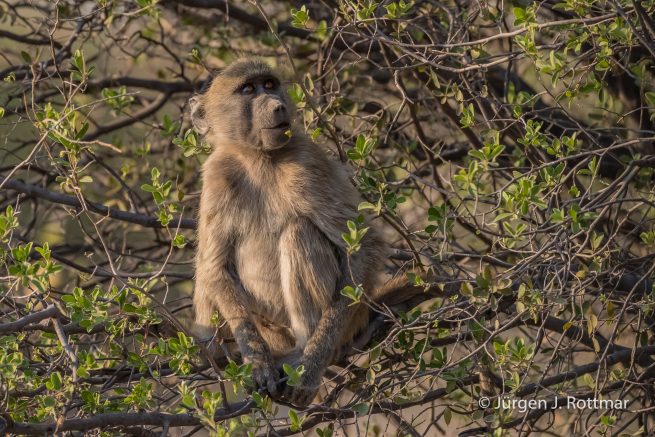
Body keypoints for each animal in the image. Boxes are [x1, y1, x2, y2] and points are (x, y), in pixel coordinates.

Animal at [190, 59, 421, 406]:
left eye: (270, 85)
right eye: (248, 89)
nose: (278, 106)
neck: (258, 157)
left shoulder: (306, 162)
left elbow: (363, 245)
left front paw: (310, 370)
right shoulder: (217, 174)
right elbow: (214, 267)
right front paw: (258, 363)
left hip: (352, 314)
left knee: (298, 231)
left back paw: (302, 354)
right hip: (272, 330)